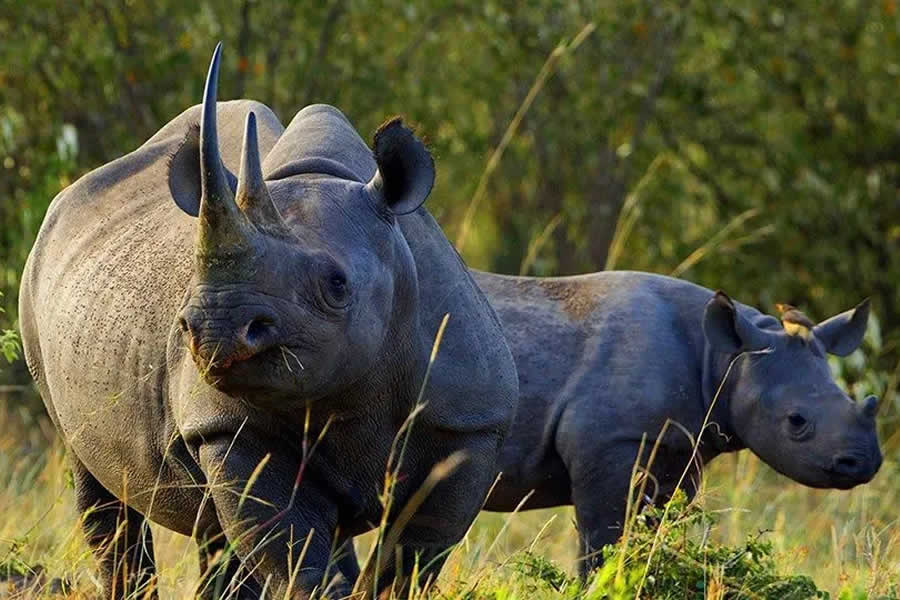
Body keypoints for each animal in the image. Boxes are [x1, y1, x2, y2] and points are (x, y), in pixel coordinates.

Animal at [17, 44, 516, 596]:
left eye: (336, 284)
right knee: (104, 488)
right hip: (37, 297)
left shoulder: (469, 425)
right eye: (188, 291)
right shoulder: (229, 427)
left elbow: (408, 562)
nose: (215, 329)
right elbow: (291, 555)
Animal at [474, 270, 884, 576]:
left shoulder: (681, 449)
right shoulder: (610, 442)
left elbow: (651, 538)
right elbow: (602, 544)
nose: (863, 463)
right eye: (796, 422)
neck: (723, 359)